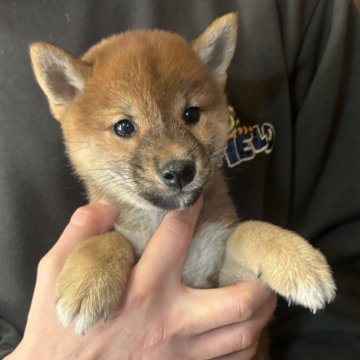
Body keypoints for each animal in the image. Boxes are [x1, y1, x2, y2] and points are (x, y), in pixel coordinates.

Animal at [29, 12, 336, 358]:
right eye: (124, 127)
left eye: (191, 114)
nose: (179, 171)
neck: (160, 221)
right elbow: (111, 238)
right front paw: (88, 277)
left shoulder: (221, 277)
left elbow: (249, 230)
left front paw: (297, 260)